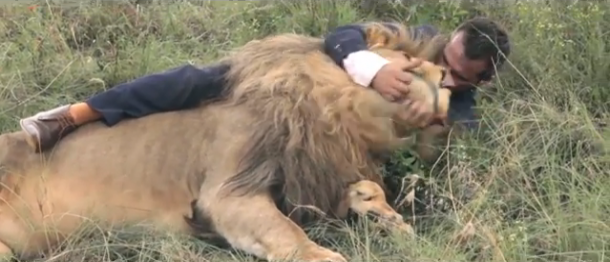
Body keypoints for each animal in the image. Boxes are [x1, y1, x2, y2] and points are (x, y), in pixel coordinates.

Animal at [0, 31, 448, 260]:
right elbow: (290, 237)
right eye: (408, 60)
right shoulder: (228, 189)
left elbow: (362, 191)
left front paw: (391, 221)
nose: (443, 74)